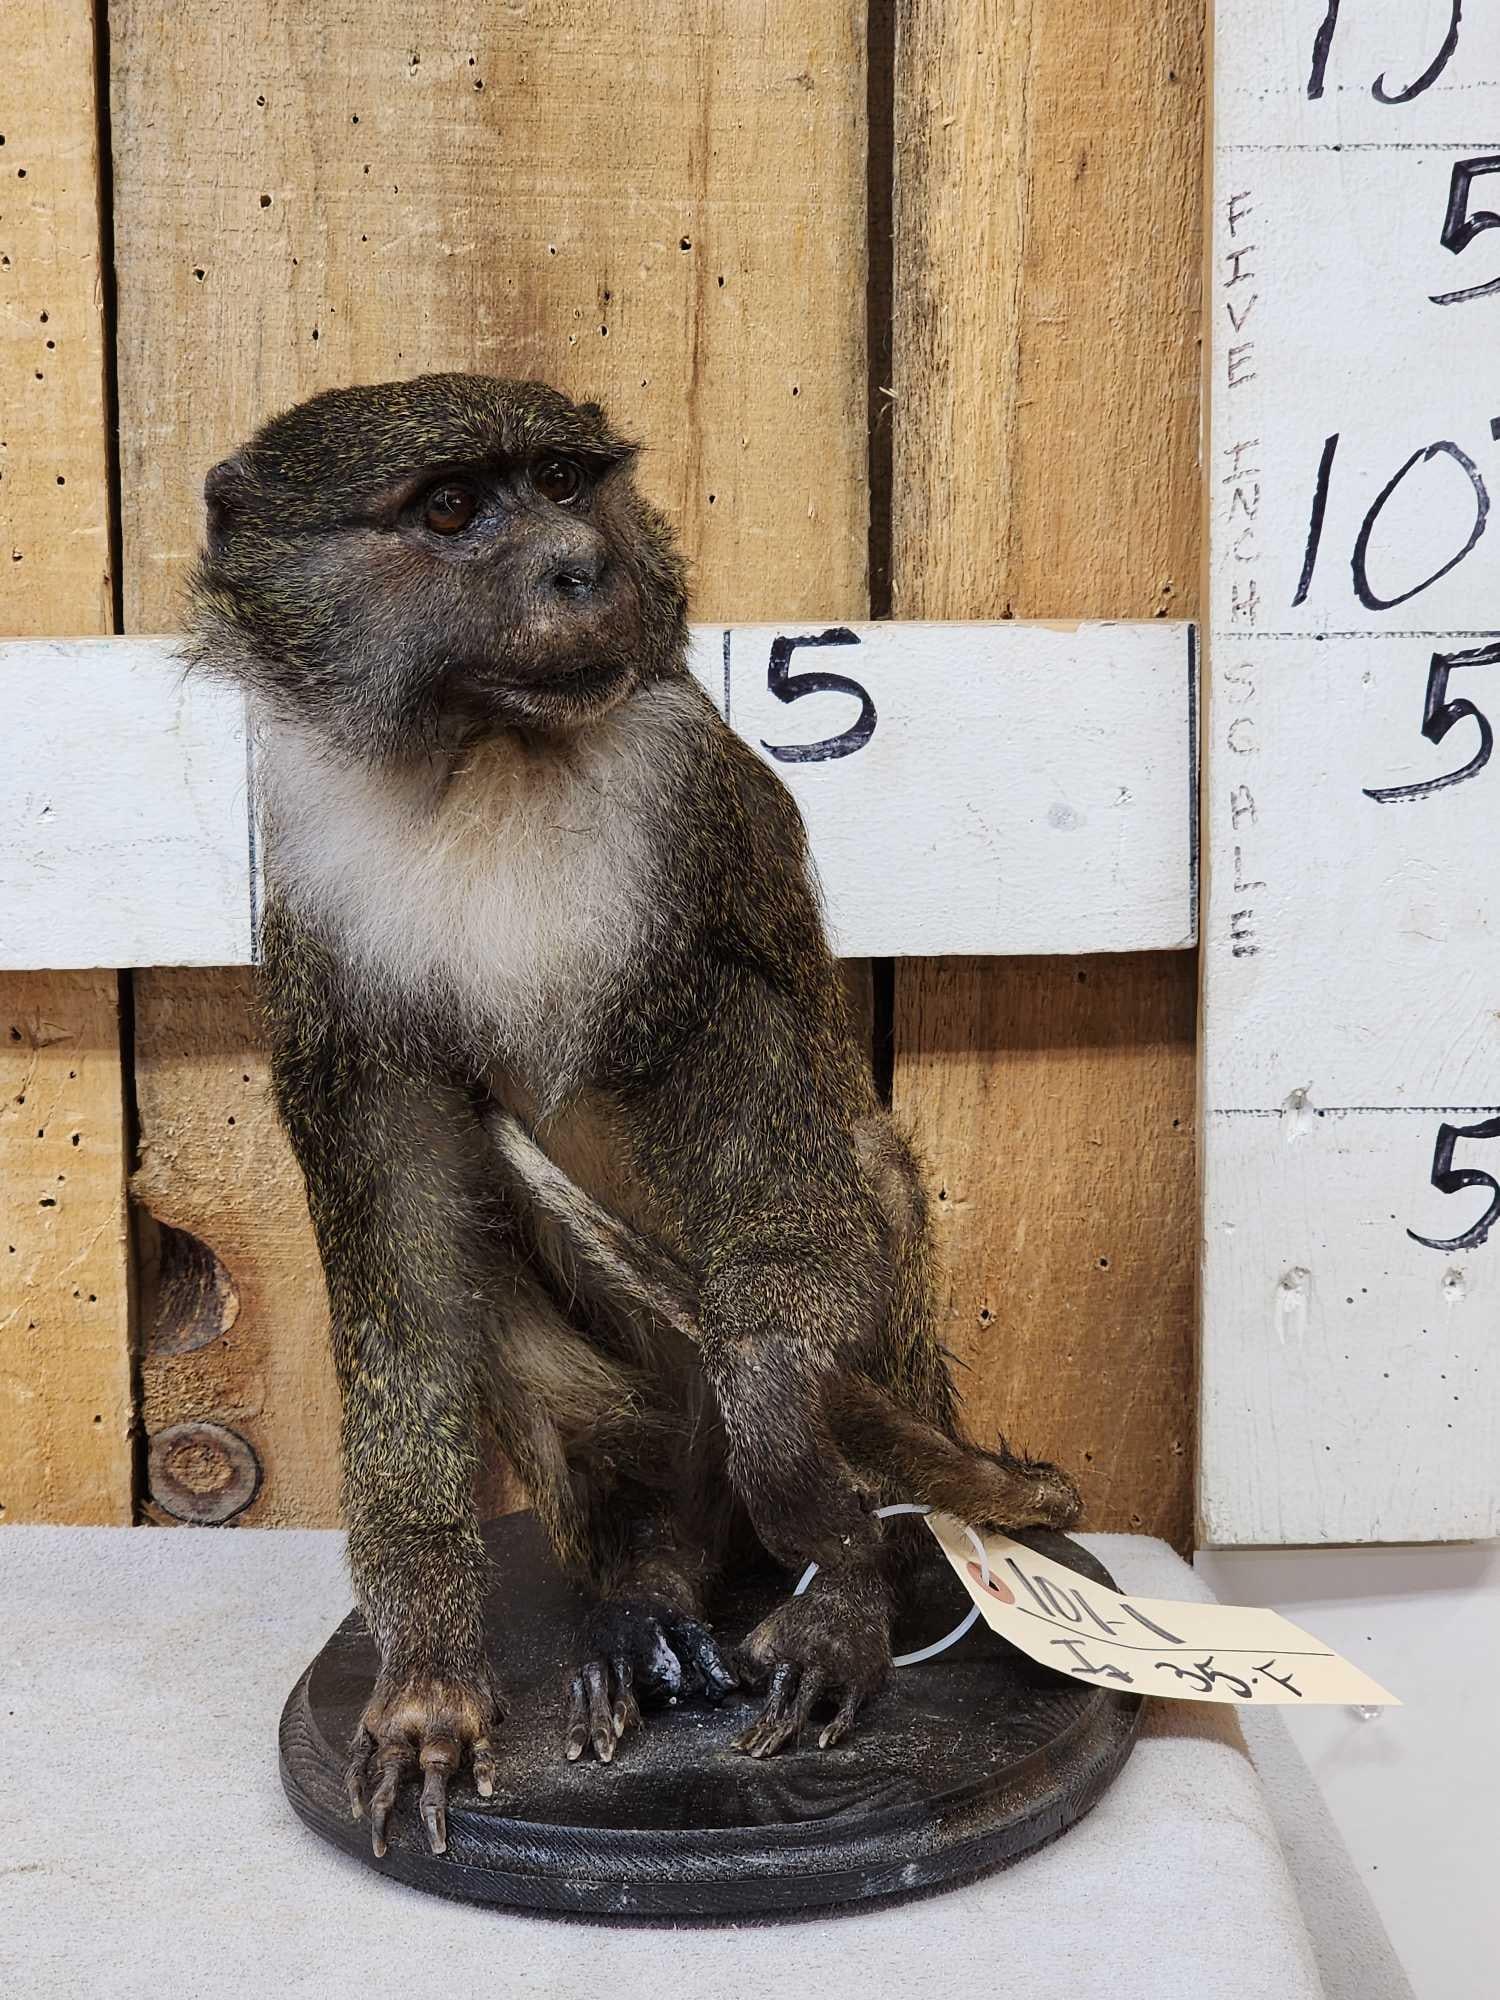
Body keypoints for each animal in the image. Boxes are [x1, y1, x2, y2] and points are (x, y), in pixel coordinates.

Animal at [186, 373, 1081, 1860]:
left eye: (565, 482)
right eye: (452, 508)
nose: (579, 566)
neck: (484, 765)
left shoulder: (691, 829)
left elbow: (758, 1070)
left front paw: (792, 1435)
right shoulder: (324, 961)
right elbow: (408, 1277)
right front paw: (427, 1672)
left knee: (862, 1170)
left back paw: (858, 1577)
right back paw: (641, 1583)